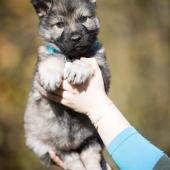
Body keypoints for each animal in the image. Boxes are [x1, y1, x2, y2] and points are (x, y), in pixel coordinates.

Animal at [24, 0, 111, 170]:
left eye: (83, 18)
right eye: (60, 24)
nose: (76, 38)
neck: (72, 55)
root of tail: (75, 146)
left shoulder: (103, 74)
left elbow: (88, 61)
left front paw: (78, 69)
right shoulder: (38, 79)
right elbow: (53, 57)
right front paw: (51, 75)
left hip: (93, 137)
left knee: (91, 155)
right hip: (52, 147)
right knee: (72, 160)